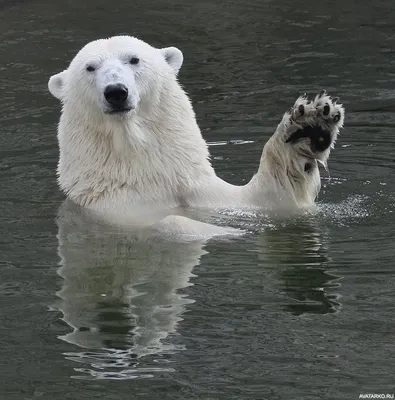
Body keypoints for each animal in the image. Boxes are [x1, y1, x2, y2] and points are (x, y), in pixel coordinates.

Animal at [48, 34, 346, 234]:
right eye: (90, 67)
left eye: (133, 59)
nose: (116, 91)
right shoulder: (114, 208)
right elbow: (171, 222)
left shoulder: (197, 188)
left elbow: (270, 198)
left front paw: (310, 126)